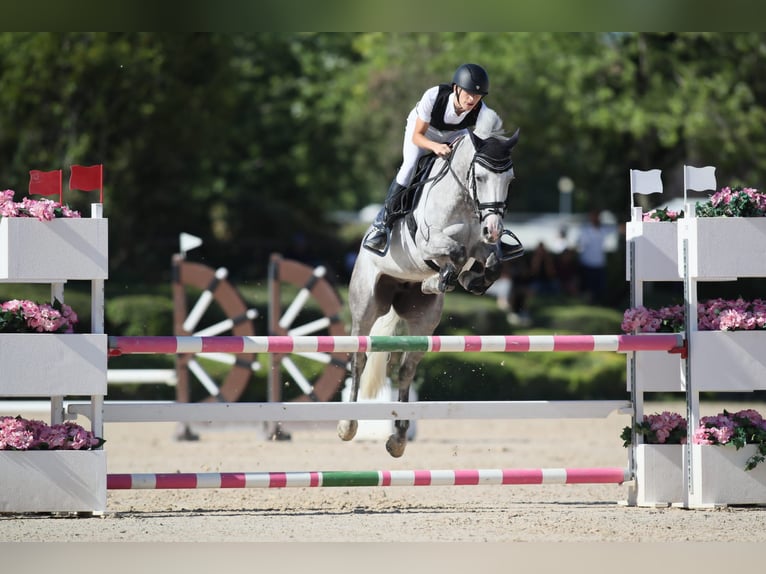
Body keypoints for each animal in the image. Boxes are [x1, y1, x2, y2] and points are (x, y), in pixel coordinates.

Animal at [340, 117, 524, 460]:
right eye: (480, 177)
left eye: (510, 179)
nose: (494, 230)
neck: (464, 201)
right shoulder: (429, 243)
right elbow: (454, 252)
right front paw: (444, 277)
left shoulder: (482, 247)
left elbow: (491, 262)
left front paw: (469, 280)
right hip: (366, 306)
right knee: (358, 358)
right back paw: (347, 425)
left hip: (423, 320)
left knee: (406, 369)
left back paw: (398, 439)